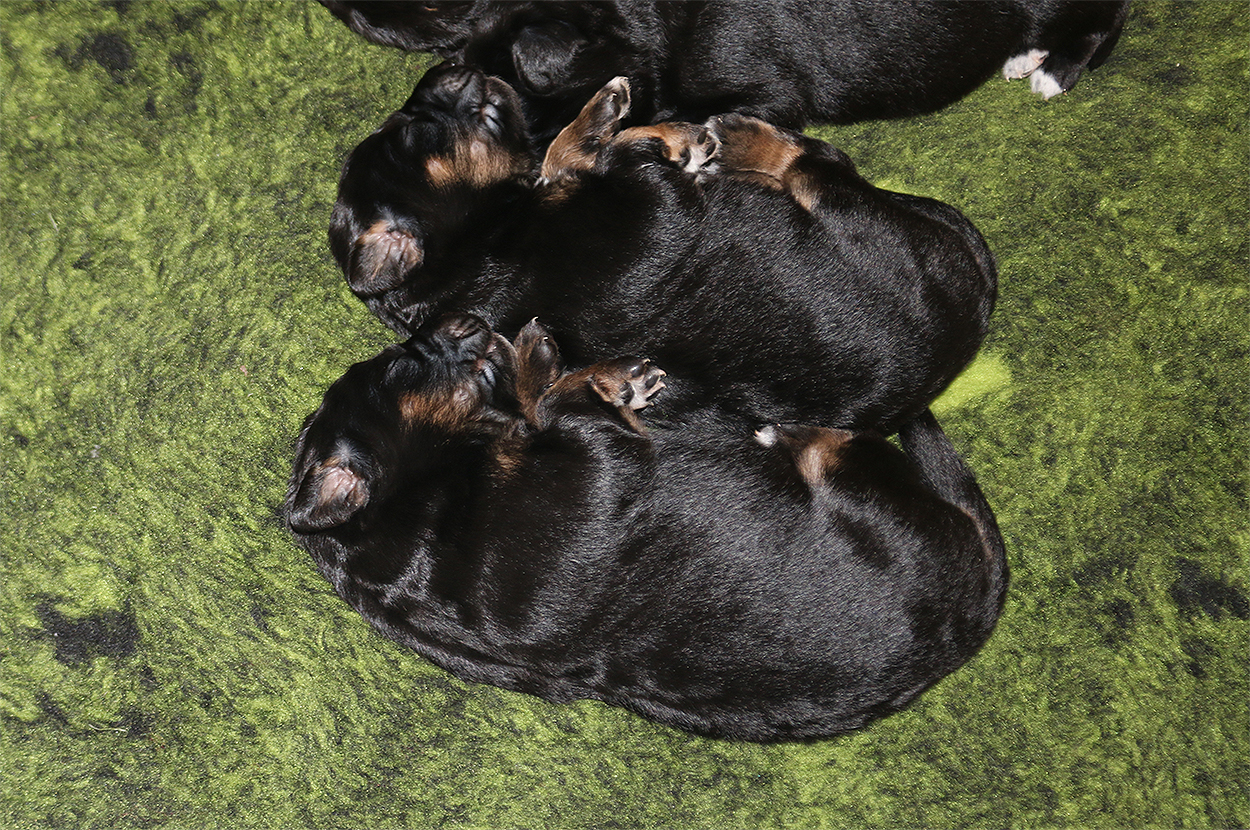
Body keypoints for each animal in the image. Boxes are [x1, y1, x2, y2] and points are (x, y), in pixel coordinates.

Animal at [286, 313, 1008, 741]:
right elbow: (553, 396)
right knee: (826, 442)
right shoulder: (599, 444)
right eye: (398, 365)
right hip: (844, 465)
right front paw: (561, 363)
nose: (466, 318)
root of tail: (971, 619)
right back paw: (782, 429)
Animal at [328, 65, 998, 435]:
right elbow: (588, 152)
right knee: (815, 165)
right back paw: (743, 138)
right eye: (410, 135)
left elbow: (561, 157)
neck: (471, 250)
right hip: (849, 210)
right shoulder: (637, 191)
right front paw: (633, 123)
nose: (445, 67)